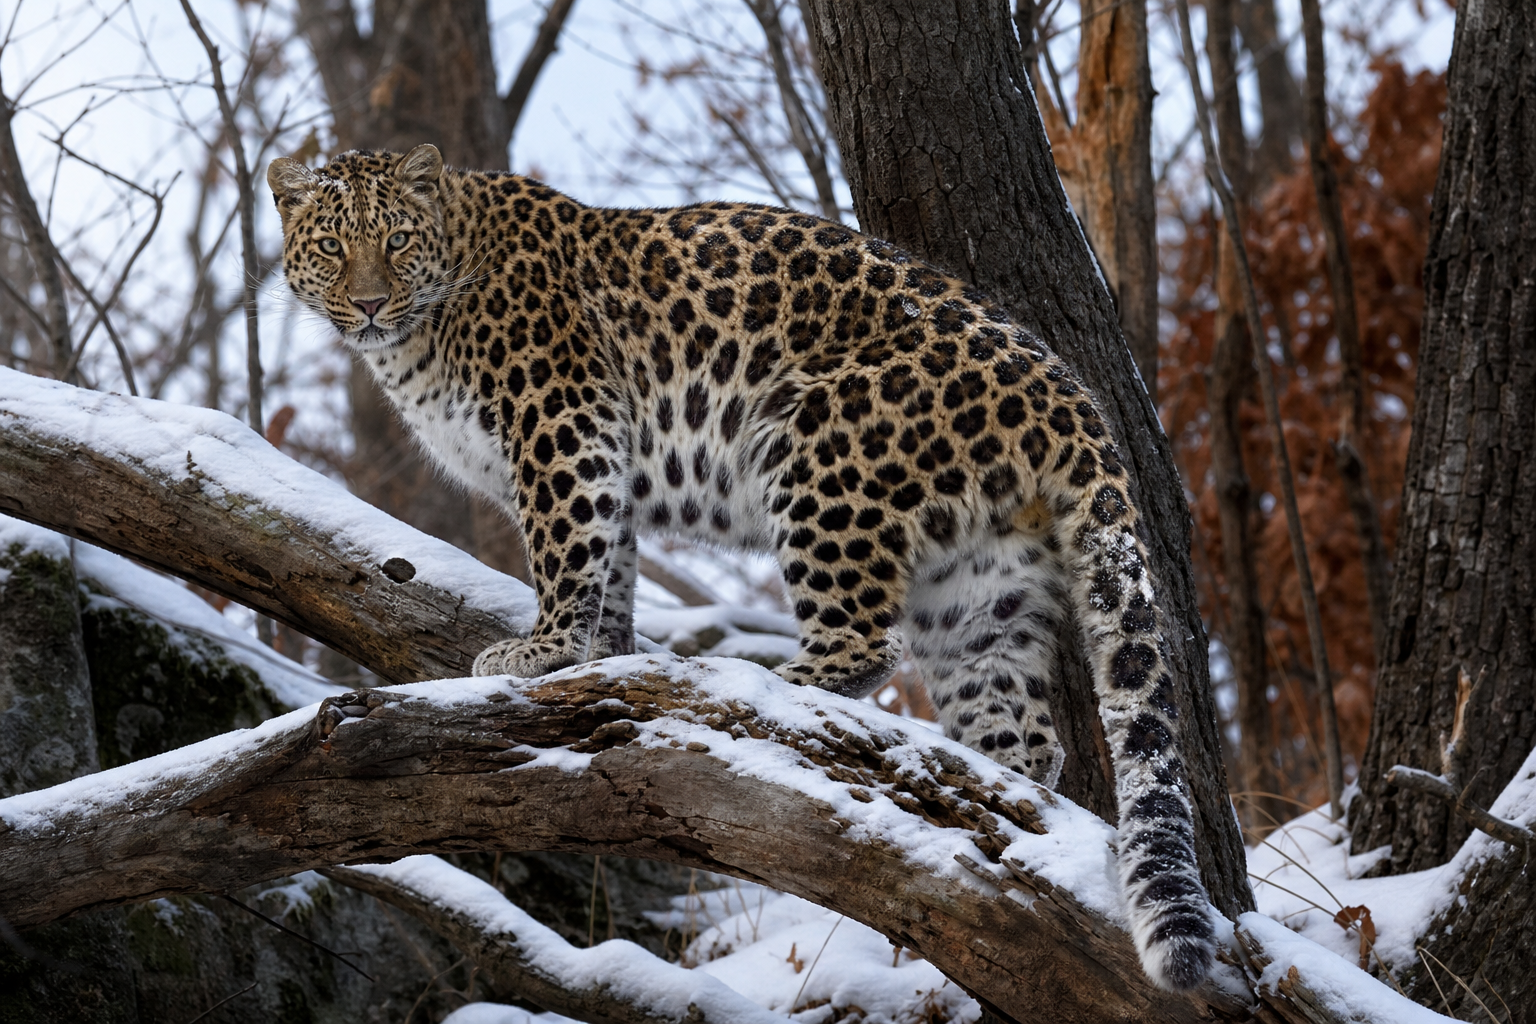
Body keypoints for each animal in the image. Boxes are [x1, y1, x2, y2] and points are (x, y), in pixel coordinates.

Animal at [268, 144, 1217, 991]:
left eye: (396, 240)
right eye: (333, 247)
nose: (369, 304)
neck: (423, 326)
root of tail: (1067, 388)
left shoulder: (563, 425)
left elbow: (568, 548)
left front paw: (543, 650)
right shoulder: (601, 461)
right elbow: (612, 564)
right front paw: (602, 656)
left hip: (819, 451)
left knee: (863, 641)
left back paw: (769, 682)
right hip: (980, 579)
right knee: (1024, 731)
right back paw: (991, 816)